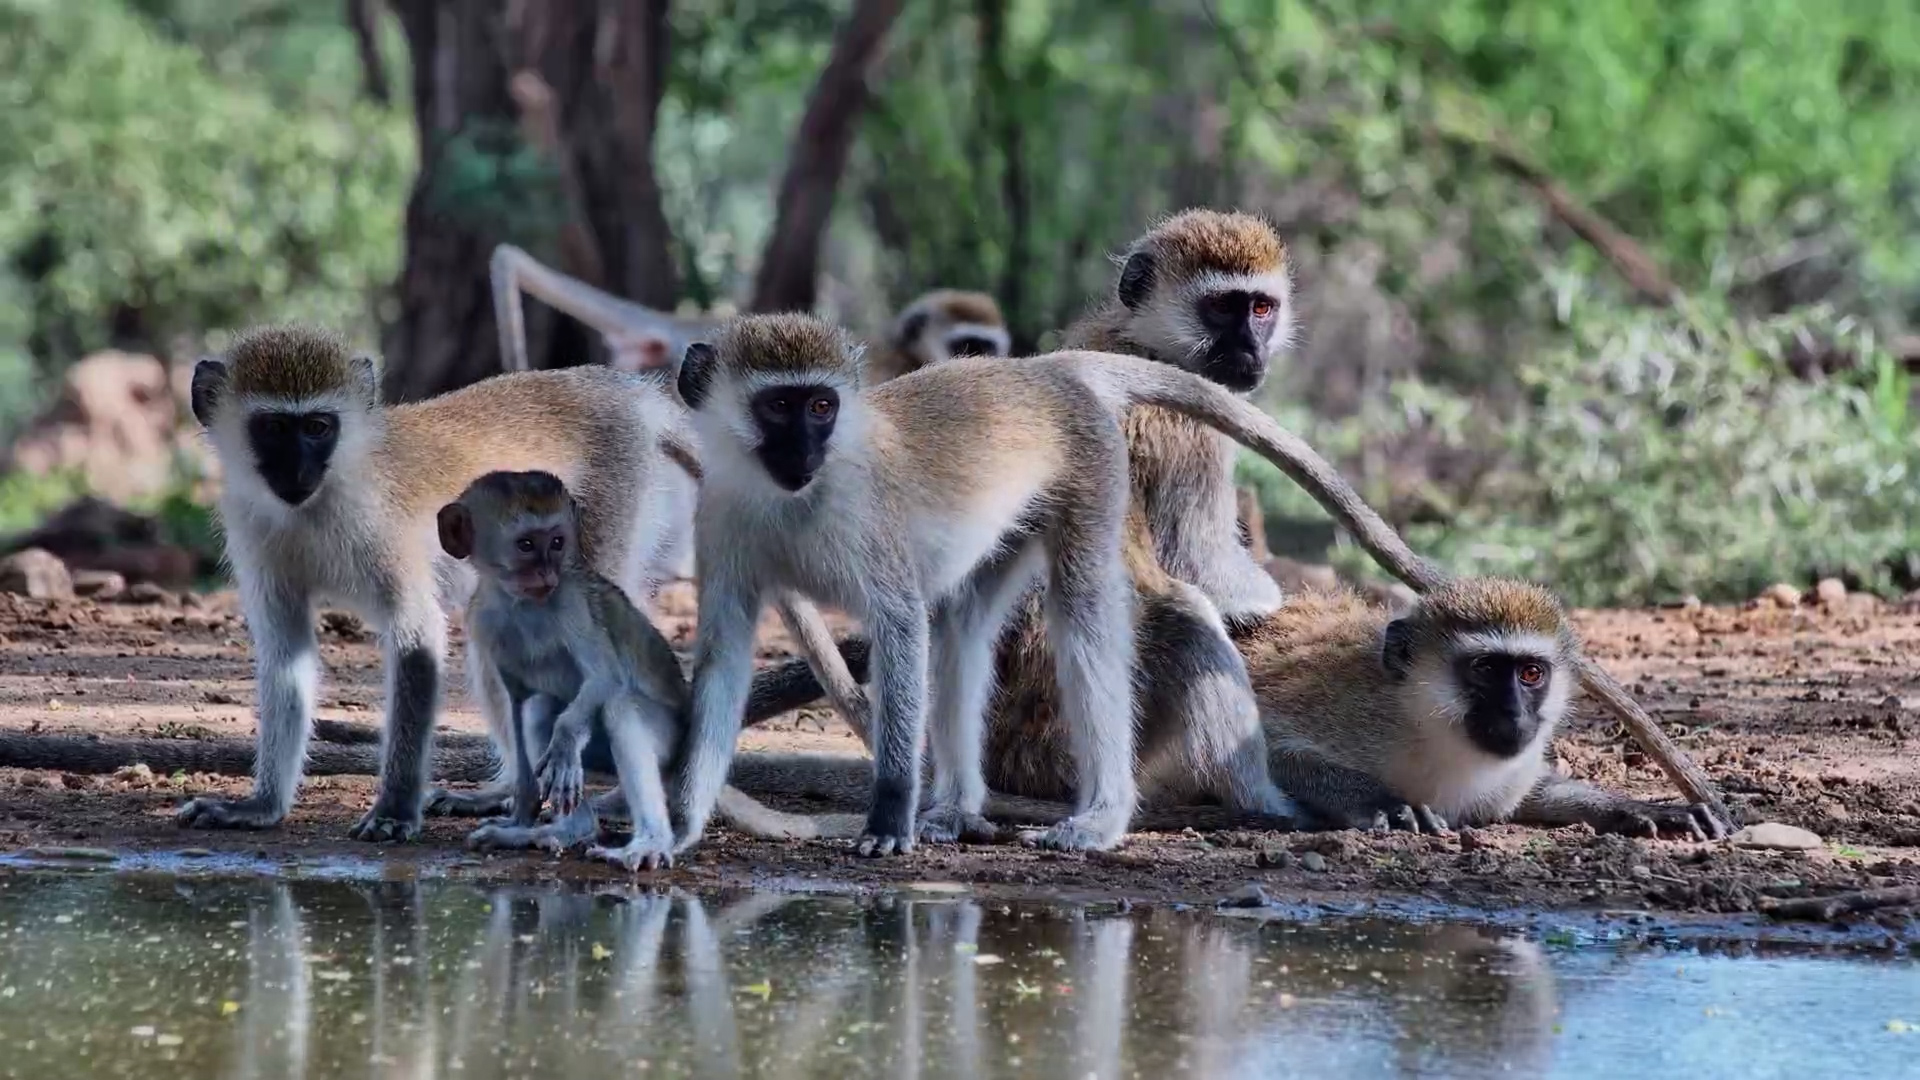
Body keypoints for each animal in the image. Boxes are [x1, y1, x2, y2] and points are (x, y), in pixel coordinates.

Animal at [437, 470, 864, 869]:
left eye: (556, 542)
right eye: (526, 545)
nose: (547, 573)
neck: (522, 605)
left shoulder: (571, 602)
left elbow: (604, 678)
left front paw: (565, 742)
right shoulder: (483, 620)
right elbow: (514, 703)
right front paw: (520, 811)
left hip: (668, 741)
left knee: (615, 708)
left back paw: (628, 835)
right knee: (538, 707)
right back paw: (556, 828)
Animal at [667, 312, 1456, 860]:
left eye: (821, 407)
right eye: (779, 407)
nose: (807, 449)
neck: (795, 498)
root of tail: (1040, 372)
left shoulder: (872, 528)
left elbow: (900, 627)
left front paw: (888, 814)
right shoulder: (723, 521)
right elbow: (726, 657)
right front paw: (679, 823)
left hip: (1091, 468)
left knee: (1084, 615)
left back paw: (1112, 814)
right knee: (964, 629)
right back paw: (960, 807)